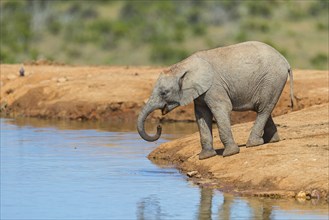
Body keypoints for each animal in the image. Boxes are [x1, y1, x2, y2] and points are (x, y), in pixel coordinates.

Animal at [136, 40, 292, 159]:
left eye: (164, 93)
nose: (159, 126)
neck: (182, 66)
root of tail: (285, 61)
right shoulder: (200, 92)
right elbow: (201, 115)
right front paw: (205, 157)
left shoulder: (214, 87)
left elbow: (221, 110)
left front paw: (230, 154)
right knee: (263, 108)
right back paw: (271, 141)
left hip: (272, 79)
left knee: (263, 109)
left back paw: (253, 144)